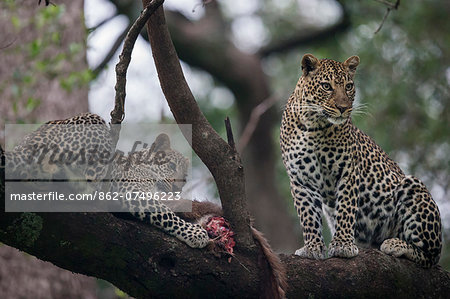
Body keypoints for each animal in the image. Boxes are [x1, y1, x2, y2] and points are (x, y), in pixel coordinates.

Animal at [5, 112, 209, 248]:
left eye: (185, 178)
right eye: (172, 166)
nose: (177, 189)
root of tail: (23, 145)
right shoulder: (133, 192)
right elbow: (167, 214)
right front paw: (196, 234)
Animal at [280, 54, 442, 270]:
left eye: (348, 86)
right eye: (326, 86)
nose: (343, 108)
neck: (312, 124)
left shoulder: (348, 171)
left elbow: (345, 209)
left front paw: (342, 245)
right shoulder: (300, 179)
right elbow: (308, 216)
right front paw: (312, 247)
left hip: (413, 186)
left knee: (431, 255)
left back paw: (395, 244)